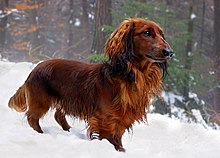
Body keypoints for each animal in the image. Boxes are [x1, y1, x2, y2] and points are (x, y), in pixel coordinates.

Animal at [8, 18, 173, 152]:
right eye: (147, 33)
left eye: (162, 35)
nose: (170, 52)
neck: (131, 75)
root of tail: (34, 69)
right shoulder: (106, 118)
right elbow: (109, 137)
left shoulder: (122, 117)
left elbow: (118, 137)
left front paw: (121, 150)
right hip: (41, 101)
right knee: (32, 117)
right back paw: (40, 133)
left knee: (58, 115)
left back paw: (69, 131)